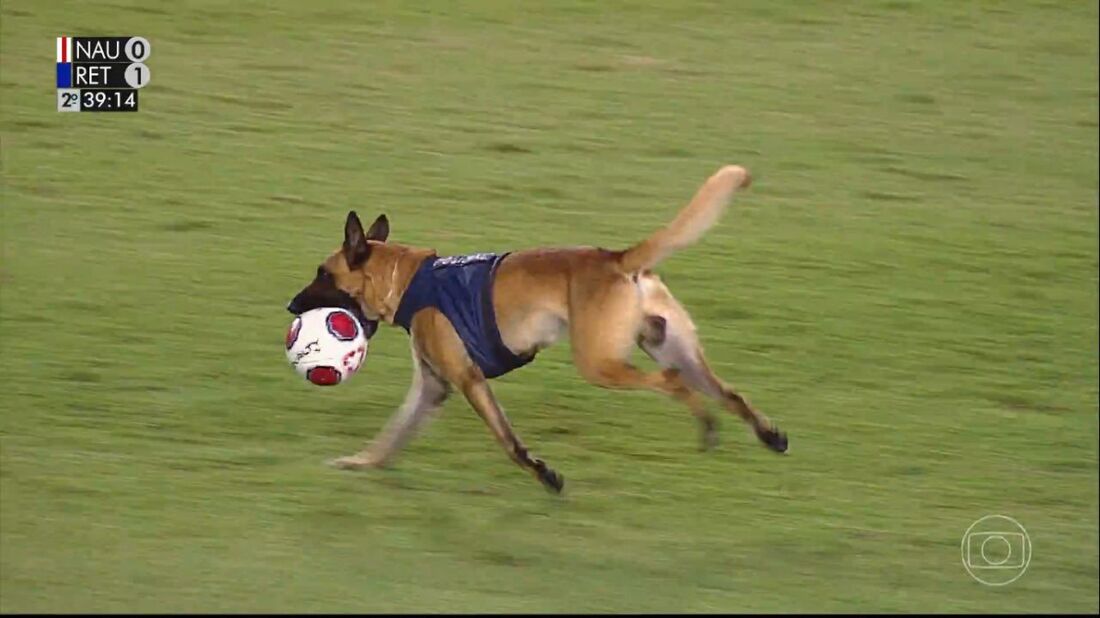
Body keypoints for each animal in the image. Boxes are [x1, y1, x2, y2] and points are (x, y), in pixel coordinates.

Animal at [288, 163, 787, 490]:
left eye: (322, 274)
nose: (291, 304)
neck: (405, 278)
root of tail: (617, 259)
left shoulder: (467, 381)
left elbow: (508, 441)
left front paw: (544, 475)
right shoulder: (432, 388)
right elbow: (391, 436)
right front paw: (359, 464)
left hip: (602, 364)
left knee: (673, 381)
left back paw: (708, 427)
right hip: (672, 346)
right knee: (728, 392)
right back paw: (769, 436)